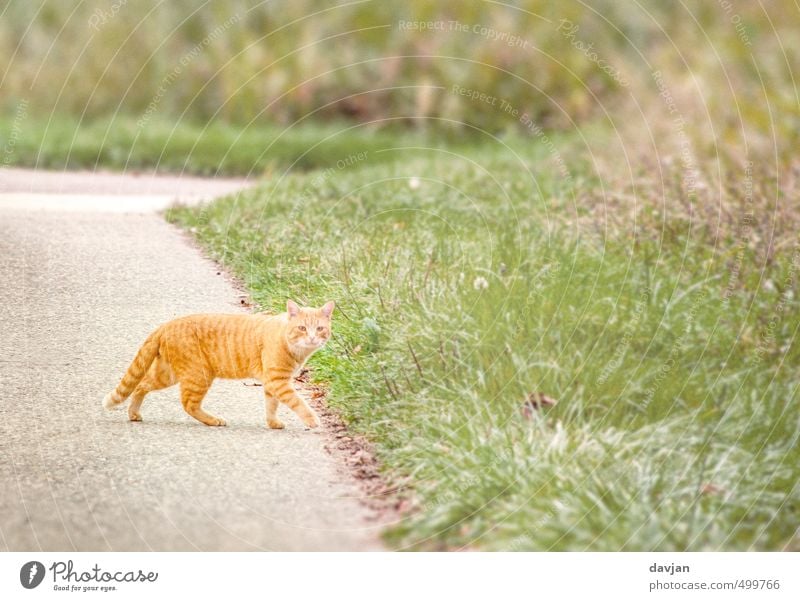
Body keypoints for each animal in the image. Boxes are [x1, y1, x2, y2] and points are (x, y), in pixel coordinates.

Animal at [103, 300, 334, 426]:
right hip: (198, 375)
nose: (312, 338)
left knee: (141, 385)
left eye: (320, 329)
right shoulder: (278, 380)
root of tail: (167, 324)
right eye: (302, 328)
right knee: (188, 404)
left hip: (167, 374)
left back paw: (134, 414)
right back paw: (213, 420)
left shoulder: (272, 383)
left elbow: (272, 405)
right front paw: (313, 421)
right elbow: (298, 402)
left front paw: (273, 423)